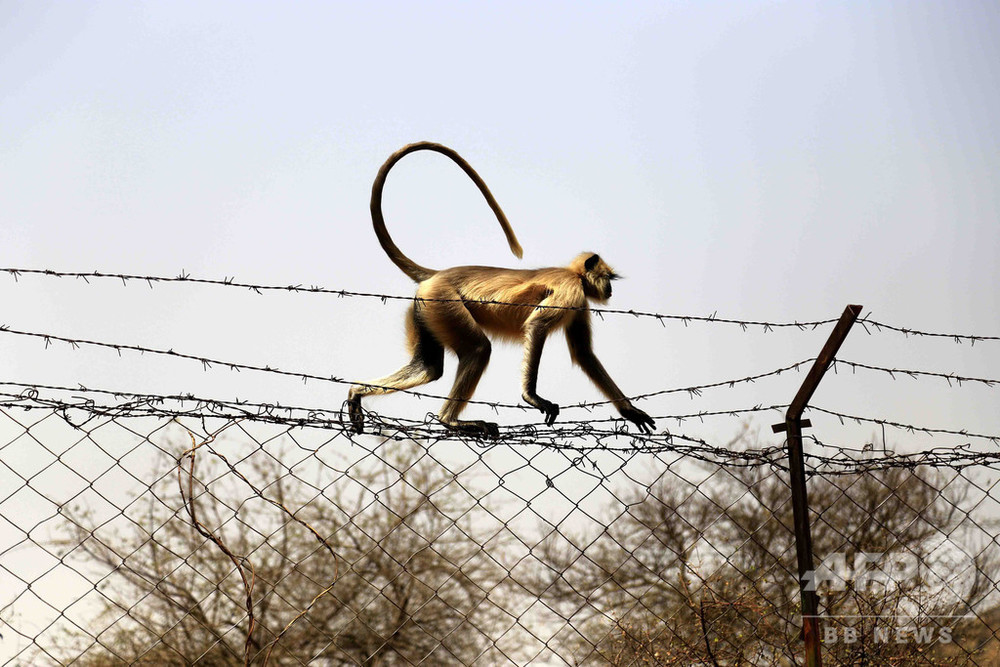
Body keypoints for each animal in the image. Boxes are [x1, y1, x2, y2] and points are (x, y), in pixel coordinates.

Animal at [346, 141, 656, 438]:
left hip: (424, 308)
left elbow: (584, 355)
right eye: (608, 278)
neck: (573, 275)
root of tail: (439, 274)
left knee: (429, 367)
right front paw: (532, 397)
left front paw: (630, 412)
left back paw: (356, 393)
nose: (610, 290)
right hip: (443, 303)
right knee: (478, 349)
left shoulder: (579, 303)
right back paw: (450, 421)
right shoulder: (571, 291)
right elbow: (537, 326)